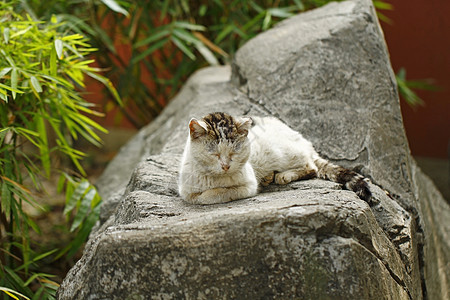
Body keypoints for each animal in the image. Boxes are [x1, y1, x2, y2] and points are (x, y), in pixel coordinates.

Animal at [178, 111, 370, 205]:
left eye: (234, 153)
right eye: (214, 154)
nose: (225, 166)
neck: (214, 178)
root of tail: (303, 139)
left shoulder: (248, 186)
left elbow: (215, 194)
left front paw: (210, 194)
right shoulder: (185, 189)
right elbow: (195, 197)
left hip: (284, 153)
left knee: (311, 167)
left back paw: (283, 176)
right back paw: (269, 177)